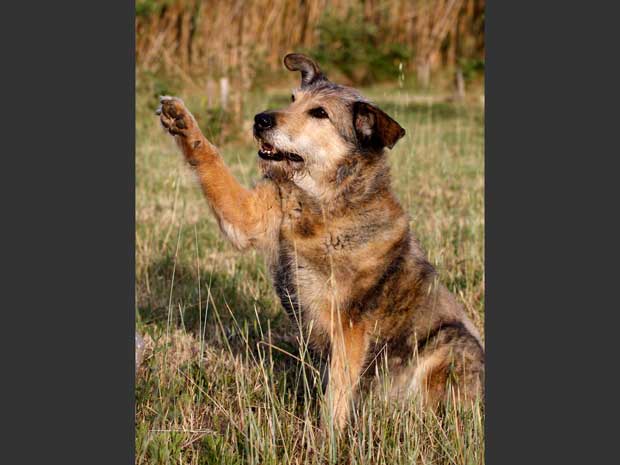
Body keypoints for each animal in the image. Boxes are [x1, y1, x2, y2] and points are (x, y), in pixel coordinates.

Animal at [155, 52, 484, 430]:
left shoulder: (351, 326)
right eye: (293, 99)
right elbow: (211, 162)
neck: (321, 201)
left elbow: (338, 391)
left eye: (320, 114)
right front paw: (181, 121)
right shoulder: (251, 213)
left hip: (449, 346)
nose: (260, 119)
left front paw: (326, 436)